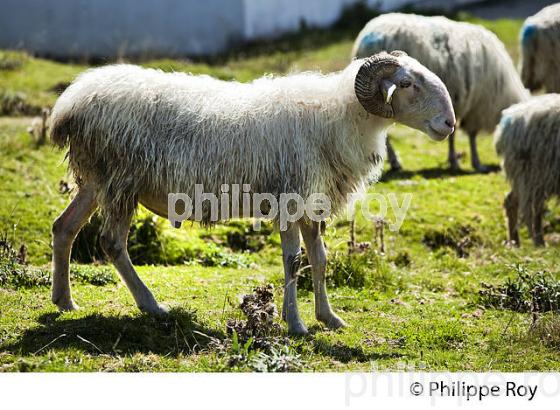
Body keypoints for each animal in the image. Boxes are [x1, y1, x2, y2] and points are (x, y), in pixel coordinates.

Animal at [49, 51, 456, 334]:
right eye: (407, 84)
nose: (449, 123)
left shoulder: (312, 202)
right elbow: (293, 261)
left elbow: (319, 259)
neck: (337, 117)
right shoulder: (290, 198)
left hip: (95, 180)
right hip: (120, 181)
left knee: (64, 227)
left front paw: (329, 317)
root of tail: (70, 102)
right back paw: (151, 306)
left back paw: (64, 301)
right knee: (112, 242)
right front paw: (297, 324)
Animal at [494, 93, 560, 247]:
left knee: (513, 202)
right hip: (533, 172)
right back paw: (537, 242)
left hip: (529, 175)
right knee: (532, 210)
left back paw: (515, 242)